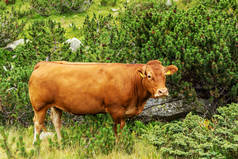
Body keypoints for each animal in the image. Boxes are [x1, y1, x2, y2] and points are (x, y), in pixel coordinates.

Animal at [28, 60, 178, 142]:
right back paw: (35, 146)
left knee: (56, 122)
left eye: (164, 75)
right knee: (37, 124)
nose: (162, 91)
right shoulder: (116, 109)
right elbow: (118, 129)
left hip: (56, 106)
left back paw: (61, 143)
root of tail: (43, 64)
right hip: (39, 106)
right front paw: (119, 146)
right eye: (149, 76)